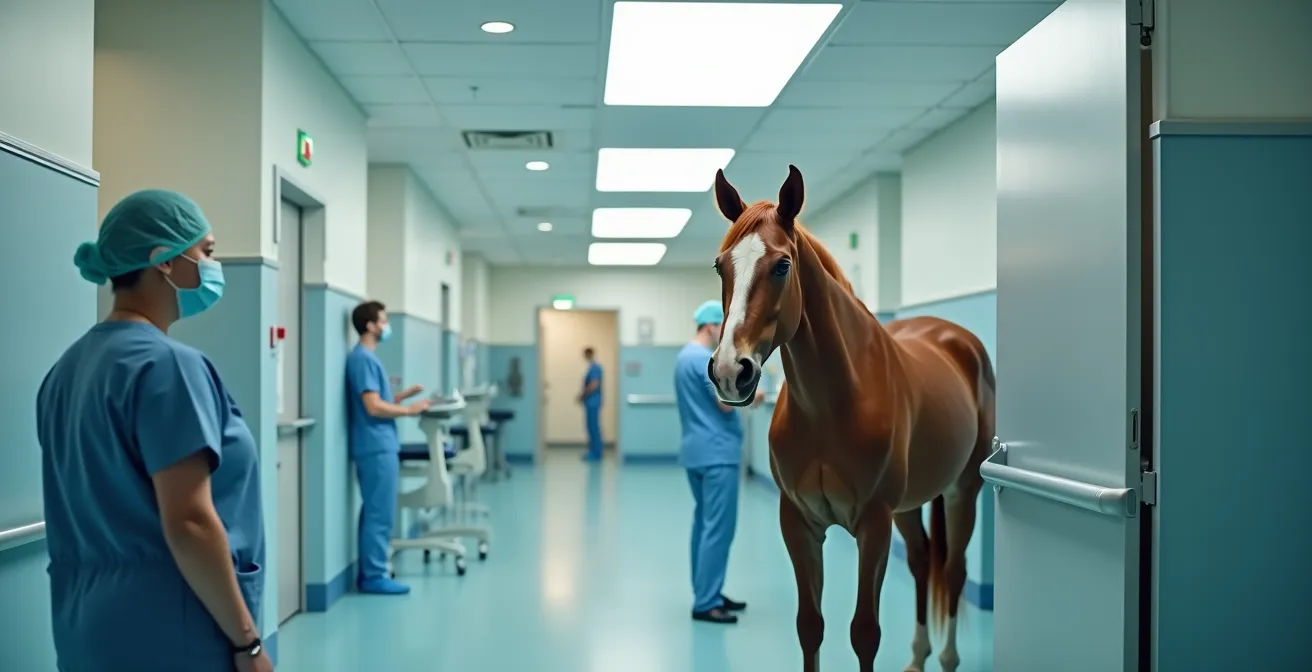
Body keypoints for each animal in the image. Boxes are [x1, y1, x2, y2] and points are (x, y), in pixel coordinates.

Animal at [706, 165, 995, 672]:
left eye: (782, 266)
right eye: (722, 266)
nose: (729, 371)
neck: (831, 405)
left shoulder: (874, 525)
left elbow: (865, 633)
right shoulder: (799, 522)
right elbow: (810, 626)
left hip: (964, 490)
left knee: (954, 569)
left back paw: (946, 657)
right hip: (909, 505)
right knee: (921, 561)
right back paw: (917, 657)